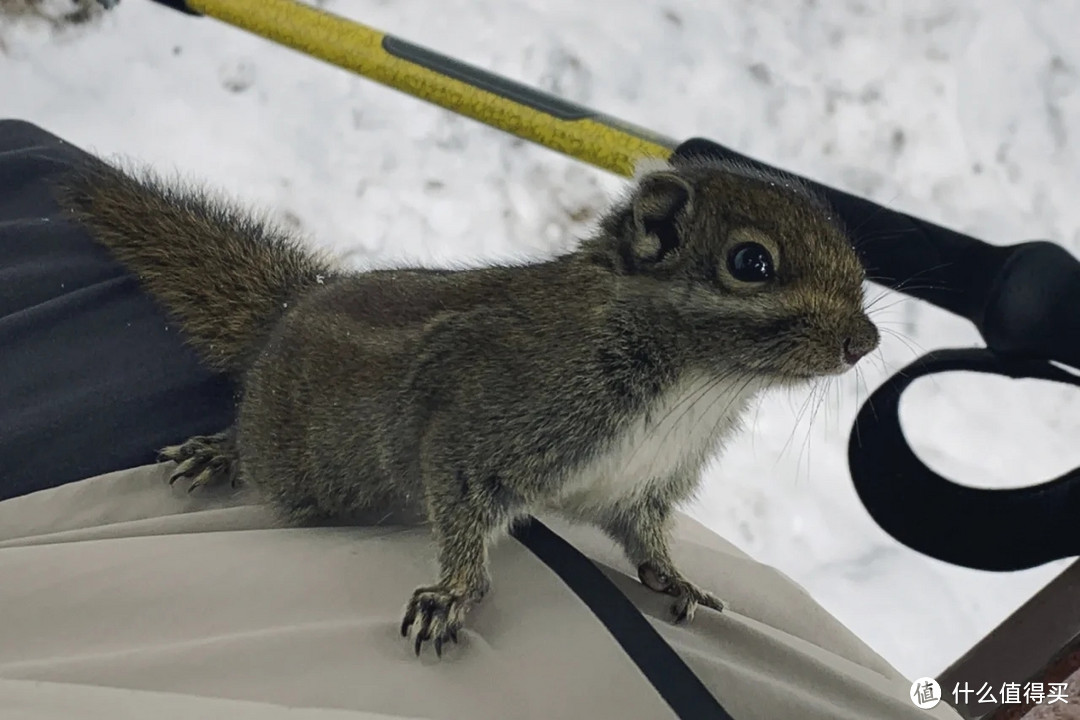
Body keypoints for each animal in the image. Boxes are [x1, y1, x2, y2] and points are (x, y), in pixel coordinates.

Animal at [54, 152, 876, 660]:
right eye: (751, 262)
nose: (863, 341)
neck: (699, 385)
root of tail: (287, 311)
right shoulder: (484, 422)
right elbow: (459, 504)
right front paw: (453, 593)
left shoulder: (641, 485)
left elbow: (645, 537)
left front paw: (676, 578)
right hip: (298, 466)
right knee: (258, 457)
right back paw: (217, 451)